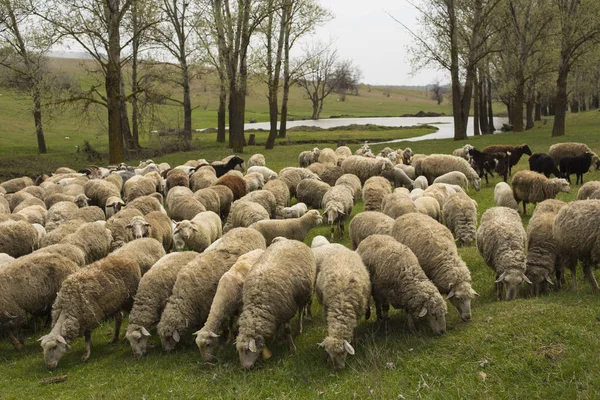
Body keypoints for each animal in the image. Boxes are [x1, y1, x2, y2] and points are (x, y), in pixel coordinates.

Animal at [236, 238, 316, 368]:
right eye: (239, 351)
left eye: (247, 350)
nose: (244, 368)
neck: (258, 302)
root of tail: (290, 240)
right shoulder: (276, 313)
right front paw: (278, 337)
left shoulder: (286, 309)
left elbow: (288, 330)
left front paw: (292, 348)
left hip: (302, 294)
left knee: (300, 311)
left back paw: (299, 328)